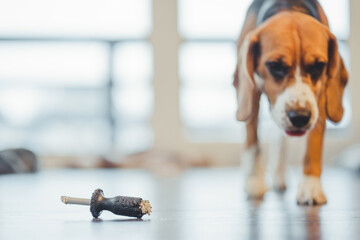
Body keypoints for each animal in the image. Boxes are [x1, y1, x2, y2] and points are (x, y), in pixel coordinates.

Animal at [233, 0, 348, 205]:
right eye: (275, 66)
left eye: (319, 66)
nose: (300, 117)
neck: (289, 7)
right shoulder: (251, 94)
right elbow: (253, 142)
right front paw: (254, 181)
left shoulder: (319, 98)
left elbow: (313, 145)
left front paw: (311, 185)